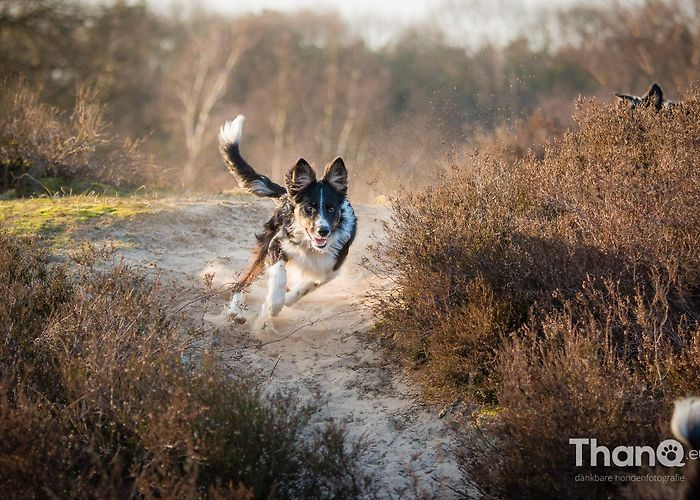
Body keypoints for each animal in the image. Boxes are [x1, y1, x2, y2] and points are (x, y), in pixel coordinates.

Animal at [217, 114, 356, 330]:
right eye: (309, 207)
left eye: (331, 208)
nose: (323, 231)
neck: (310, 246)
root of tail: (286, 195)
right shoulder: (277, 244)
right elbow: (279, 277)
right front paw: (273, 306)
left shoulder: (331, 268)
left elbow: (307, 286)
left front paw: (286, 300)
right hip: (264, 246)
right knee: (242, 282)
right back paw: (235, 312)